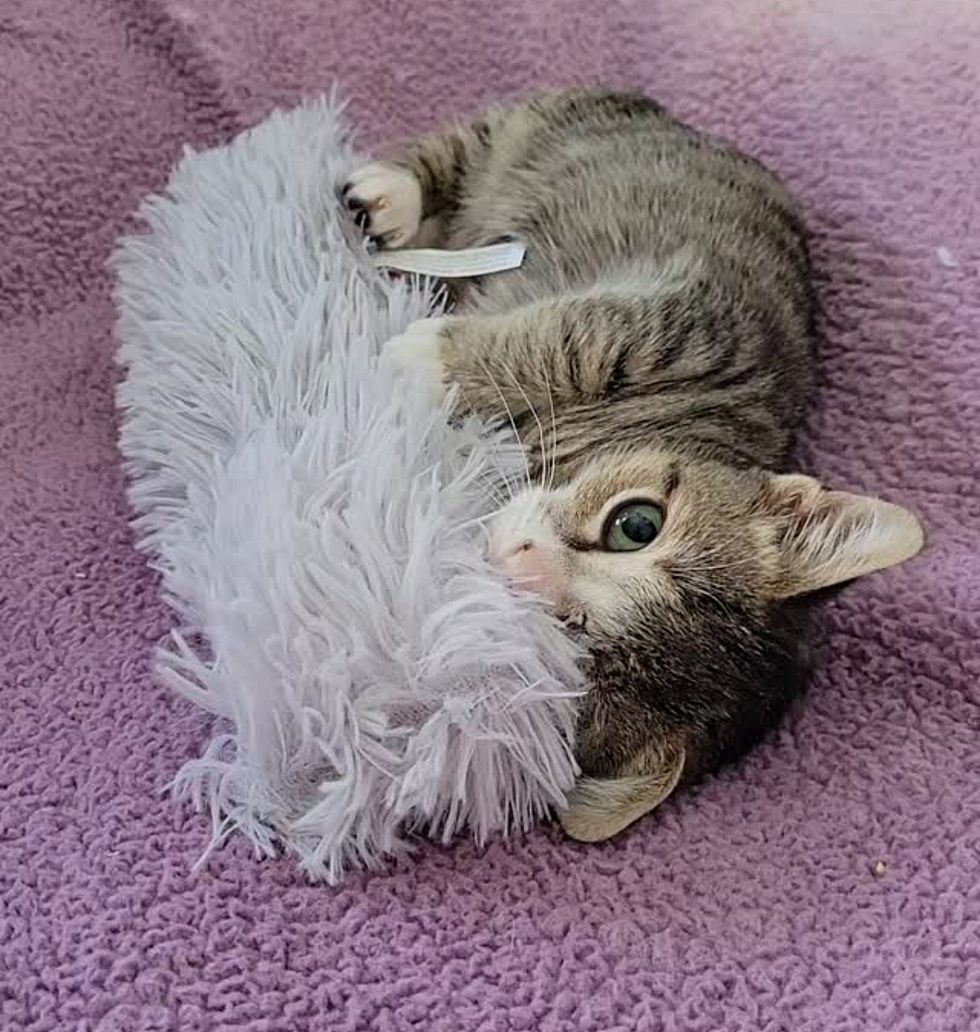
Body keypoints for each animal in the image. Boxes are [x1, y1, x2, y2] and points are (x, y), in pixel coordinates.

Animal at [340, 88, 924, 842]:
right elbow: (569, 336)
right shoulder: (683, 327)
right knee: (476, 142)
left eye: (571, 640)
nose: (518, 555)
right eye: (637, 525)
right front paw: (423, 354)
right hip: (562, 122)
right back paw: (389, 196)